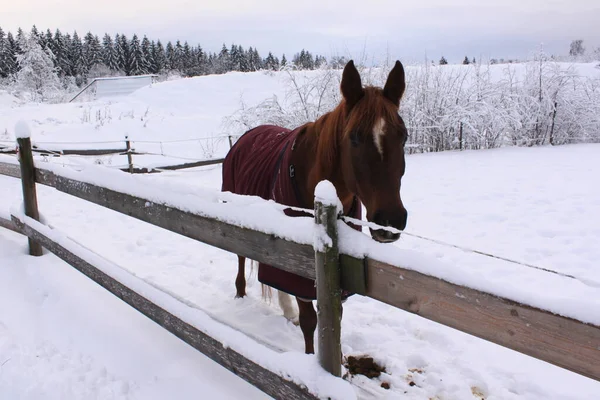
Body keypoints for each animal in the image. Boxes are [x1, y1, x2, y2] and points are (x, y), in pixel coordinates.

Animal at [223, 58, 410, 354]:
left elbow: (334, 318)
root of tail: (245, 137)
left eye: (403, 136)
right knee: (241, 257)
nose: (389, 221)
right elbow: (310, 320)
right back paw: (240, 294)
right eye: (354, 137)